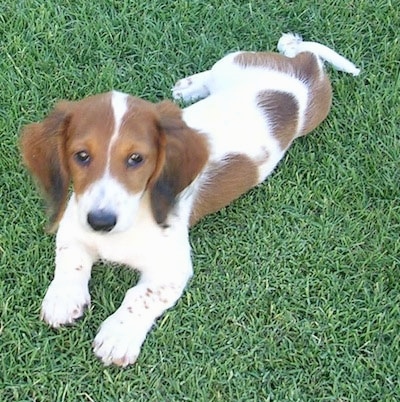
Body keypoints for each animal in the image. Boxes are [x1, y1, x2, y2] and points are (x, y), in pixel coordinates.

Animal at [21, 35, 360, 368]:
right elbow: (71, 260)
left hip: (301, 101)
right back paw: (190, 86)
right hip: (234, 63)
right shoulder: (74, 224)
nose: (101, 222)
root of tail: (304, 70)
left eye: (136, 159)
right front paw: (63, 298)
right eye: (81, 156)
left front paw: (118, 335)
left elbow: (140, 296)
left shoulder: (172, 268)